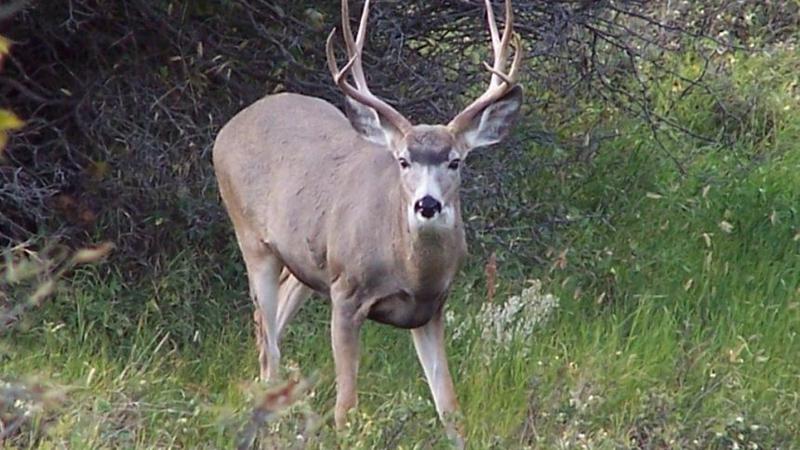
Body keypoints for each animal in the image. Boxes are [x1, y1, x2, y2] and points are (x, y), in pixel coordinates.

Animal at [212, 0, 522, 446]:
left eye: (455, 161)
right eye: (403, 160)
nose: (427, 204)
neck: (410, 270)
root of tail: (228, 128)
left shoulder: (431, 308)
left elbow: (450, 407)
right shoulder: (346, 292)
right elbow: (346, 408)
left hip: (307, 262)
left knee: (273, 324)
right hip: (252, 238)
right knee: (266, 337)